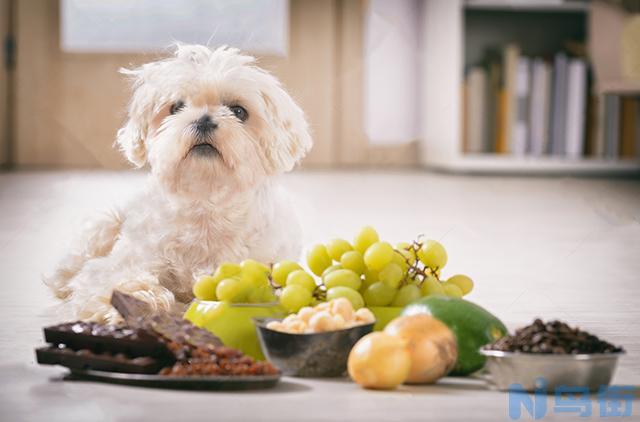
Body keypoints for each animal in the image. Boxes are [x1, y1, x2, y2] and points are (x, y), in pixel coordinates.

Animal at [45, 44, 312, 322]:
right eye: (176, 107)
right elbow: (115, 280)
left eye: (239, 111)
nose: (204, 119)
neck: (205, 201)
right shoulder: (125, 262)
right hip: (106, 224)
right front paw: (139, 300)